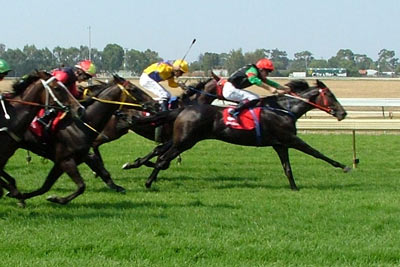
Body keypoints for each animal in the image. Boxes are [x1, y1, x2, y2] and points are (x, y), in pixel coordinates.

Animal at [7, 75, 156, 205]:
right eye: (133, 89)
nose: (154, 103)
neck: (82, 124)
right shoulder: (66, 160)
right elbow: (81, 186)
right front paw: (56, 199)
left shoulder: (64, 161)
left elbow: (46, 186)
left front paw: (21, 196)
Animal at [130, 80, 350, 191]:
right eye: (330, 95)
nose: (343, 113)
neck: (284, 109)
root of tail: (184, 109)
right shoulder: (290, 139)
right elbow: (316, 153)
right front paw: (344, 166)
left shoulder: (280, 144)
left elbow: (287, 167)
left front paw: (294, 187)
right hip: (184, 141)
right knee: (162, 159)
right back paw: (148, 182)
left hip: (182, 140)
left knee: (161, 153)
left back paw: (139, 167)